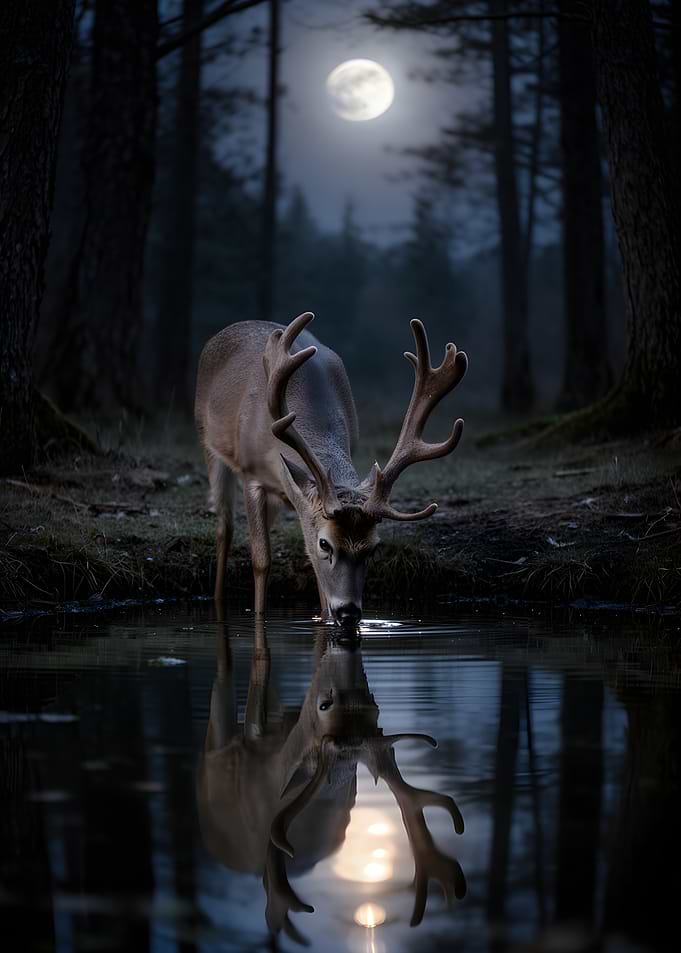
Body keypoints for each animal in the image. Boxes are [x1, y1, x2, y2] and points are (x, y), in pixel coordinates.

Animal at [194, 312, 468, 623]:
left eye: (373, 548)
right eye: (326, 543)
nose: (348, 612)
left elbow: (314, 568)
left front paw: (326, 617)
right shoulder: (252, 475)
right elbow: (261, 559)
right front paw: (260, 616)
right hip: (208, 442)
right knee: (224, 528)